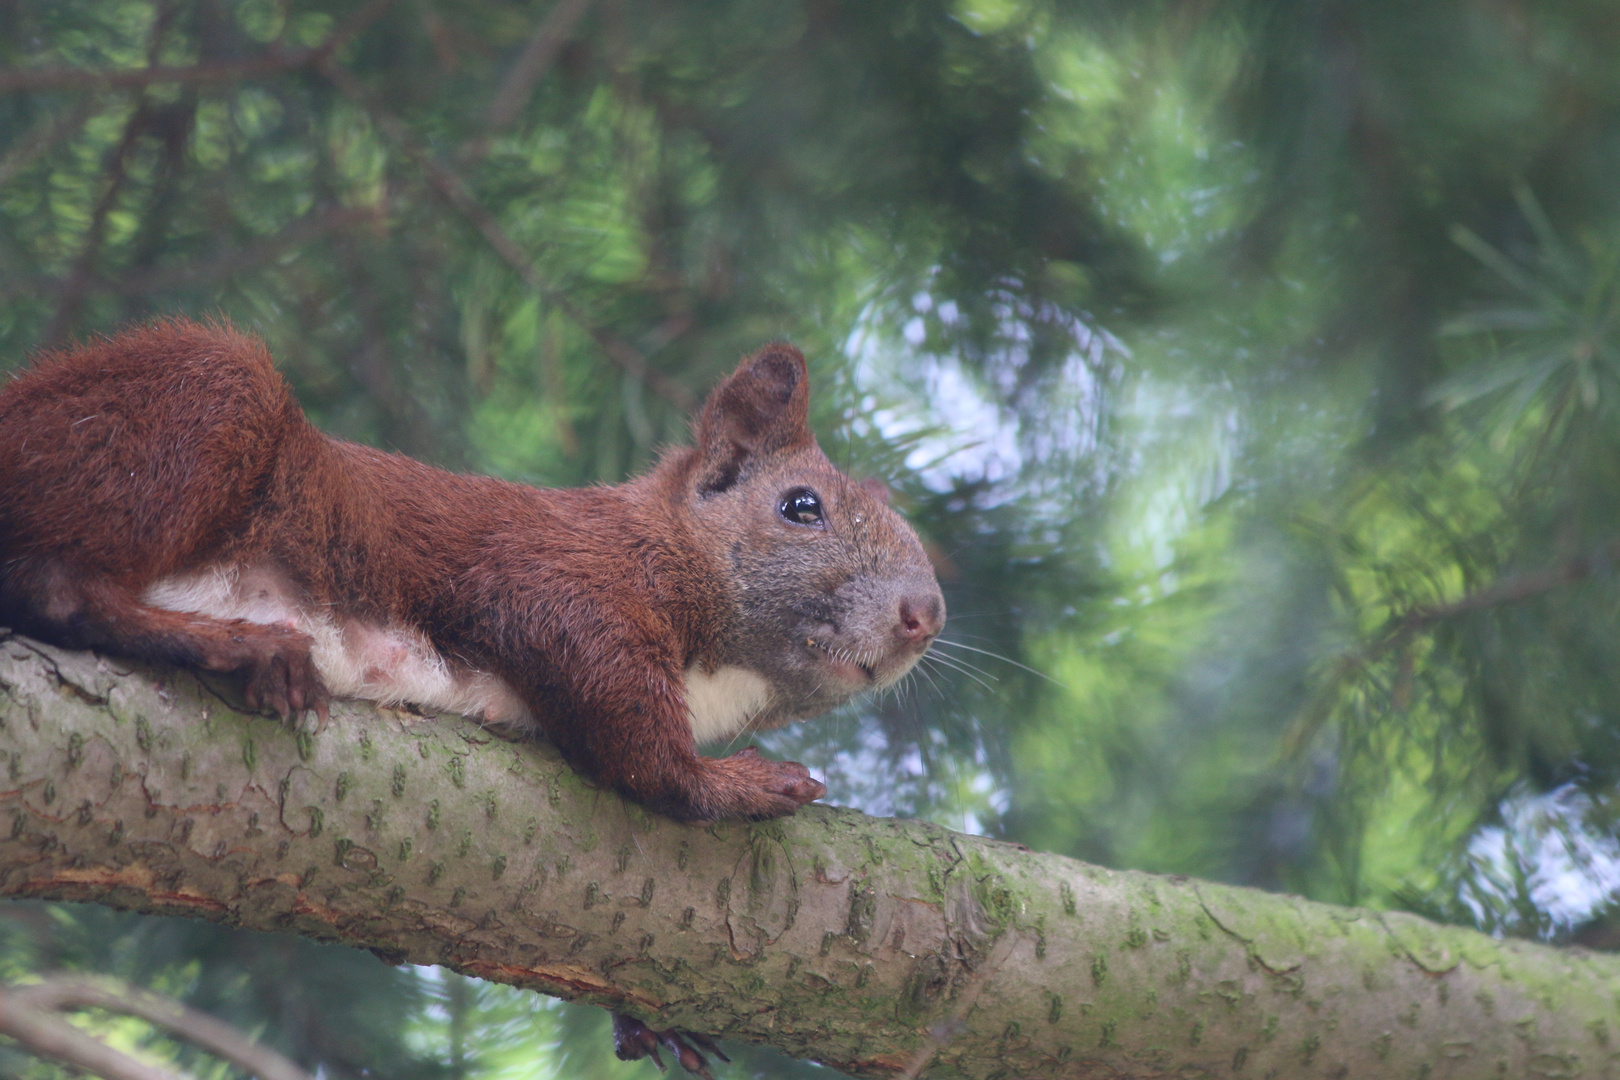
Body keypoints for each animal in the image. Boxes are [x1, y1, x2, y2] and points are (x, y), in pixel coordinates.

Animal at [0, 317, 946, 822]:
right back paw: (238, 645)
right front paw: (732, 781)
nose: (925, 613)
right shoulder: (550, 569)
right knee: (55, 587)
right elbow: (630, 735)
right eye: (801, 507)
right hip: (197, 397)